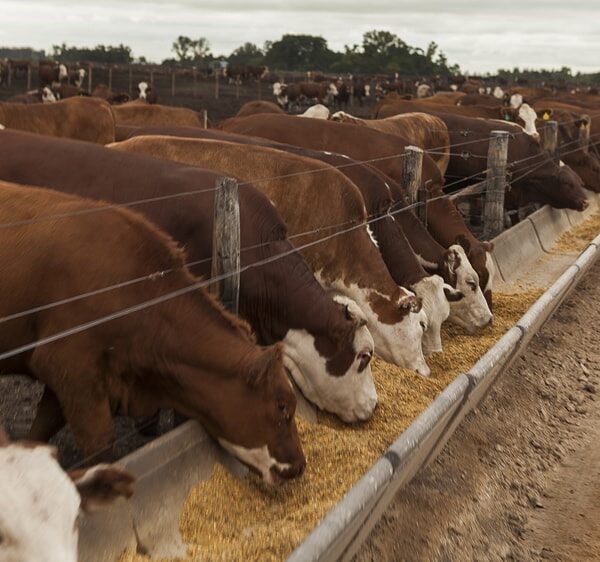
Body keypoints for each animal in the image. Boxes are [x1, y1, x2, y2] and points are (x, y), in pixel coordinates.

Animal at [0, 179, 304, 482]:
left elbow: (40, 430)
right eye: (282, 406)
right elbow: (100, 445)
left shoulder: (67, 379)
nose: (298, 466)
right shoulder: (70, 367)